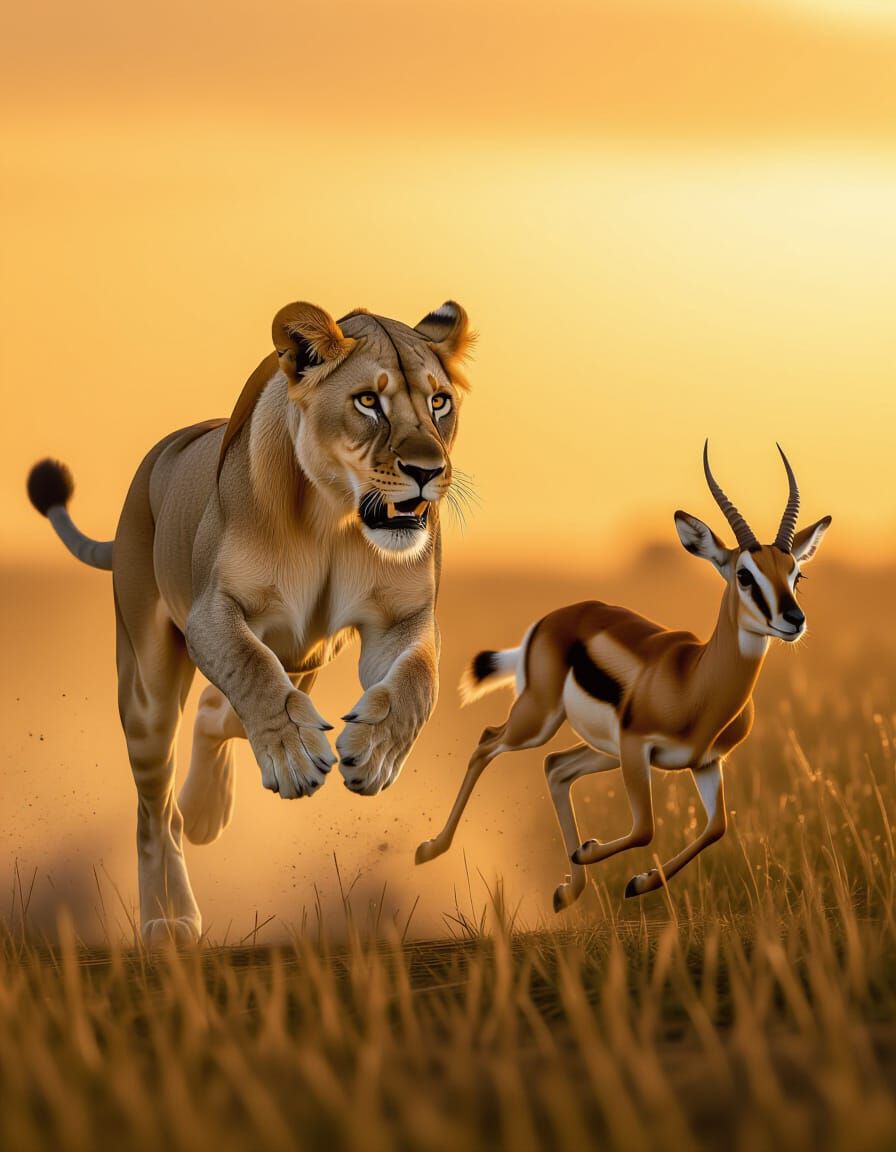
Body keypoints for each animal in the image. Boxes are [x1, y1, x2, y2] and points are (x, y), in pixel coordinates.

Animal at [26, 300, 473, 946]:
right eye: (368, 400)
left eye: (439, 402)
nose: (427, 470)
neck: (335, 519)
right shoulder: (213, 613)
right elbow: (252, 669)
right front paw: (291, 756)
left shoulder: (402, 618)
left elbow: (416, 683)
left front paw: (375, 753)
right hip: (148, 686)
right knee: (154, 808)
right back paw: (168, 915)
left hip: (306, 658)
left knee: (218, 716)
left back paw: (205, 809)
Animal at [416, 444, 831, 910]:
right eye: (744, 575)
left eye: (796, 573)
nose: (794, 620)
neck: (696, 683)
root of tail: (552, 619)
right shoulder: (638, 747)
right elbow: (645, 828)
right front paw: (597, 855)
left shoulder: (706, 762)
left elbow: (716, 828)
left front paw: (637, 880)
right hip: (542, 722)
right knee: (488, 742)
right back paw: (430, 848)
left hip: (604, 750)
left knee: (555, 767)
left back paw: (567, 891)